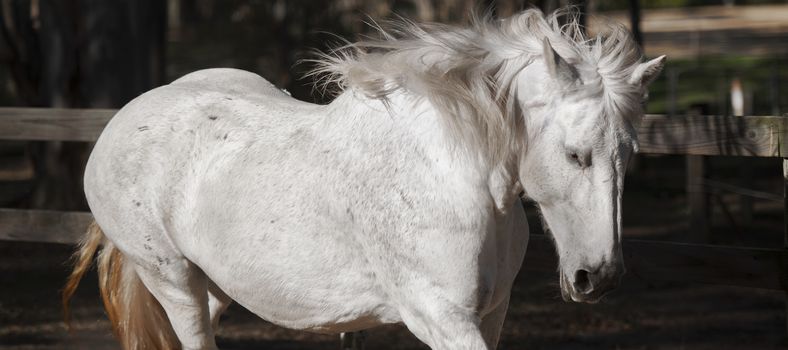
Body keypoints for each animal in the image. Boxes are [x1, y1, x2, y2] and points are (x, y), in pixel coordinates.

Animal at [63, 8, 664, 350]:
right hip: (171, 280)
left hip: (211, 286)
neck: (453, 178)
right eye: (575, 154)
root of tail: (122, 120)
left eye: (630, 154)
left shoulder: (493, 314)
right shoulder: (440, 317)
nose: (598, 277)